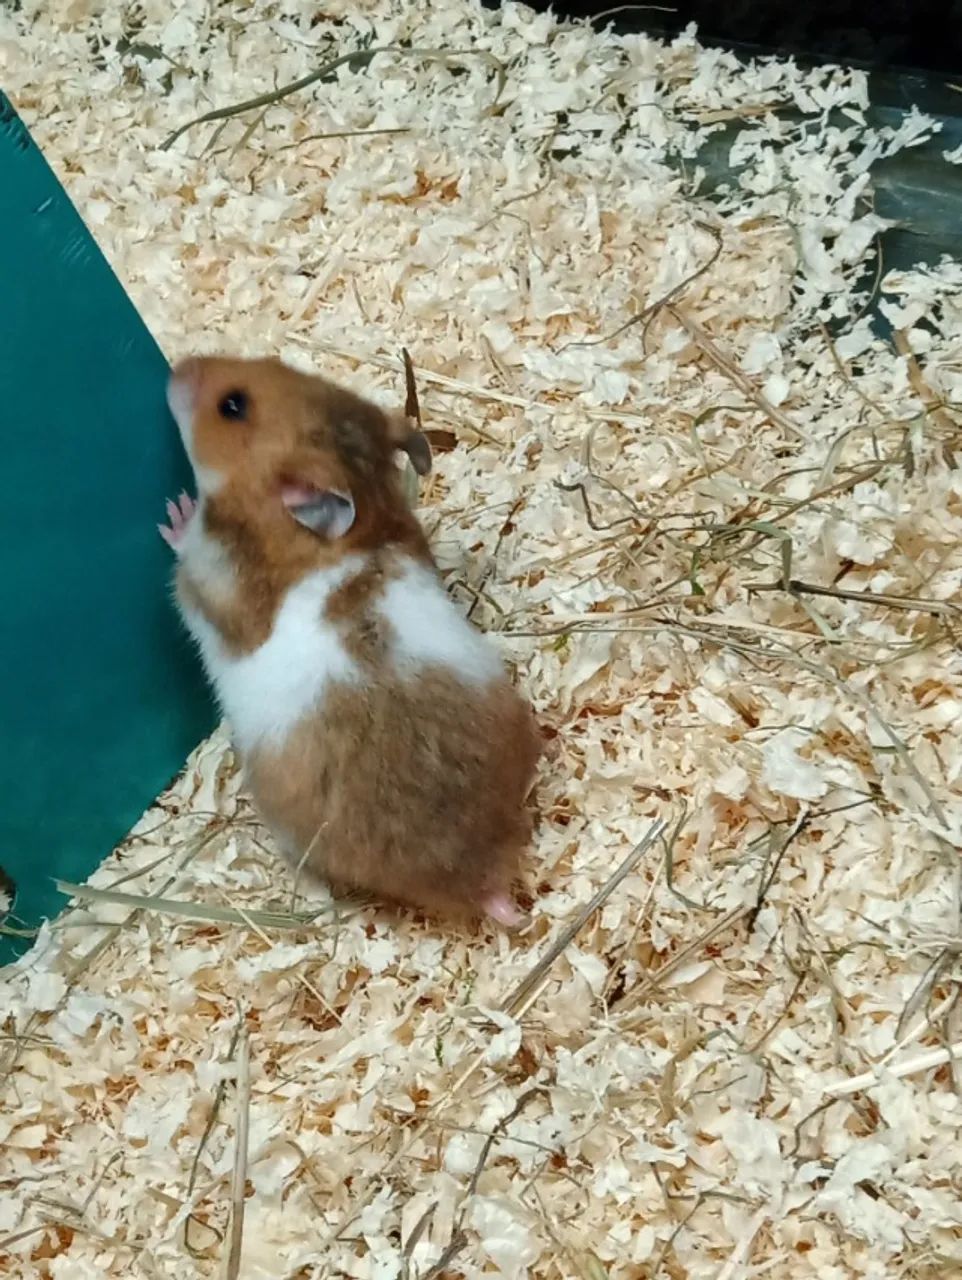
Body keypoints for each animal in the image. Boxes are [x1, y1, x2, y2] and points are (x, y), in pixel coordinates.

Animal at [159, 355, 540, 927]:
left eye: (233, 405)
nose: (181, 365)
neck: (364, 511)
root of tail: (481, 880)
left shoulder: (207, 578)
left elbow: (186, 559)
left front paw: (175, 512)